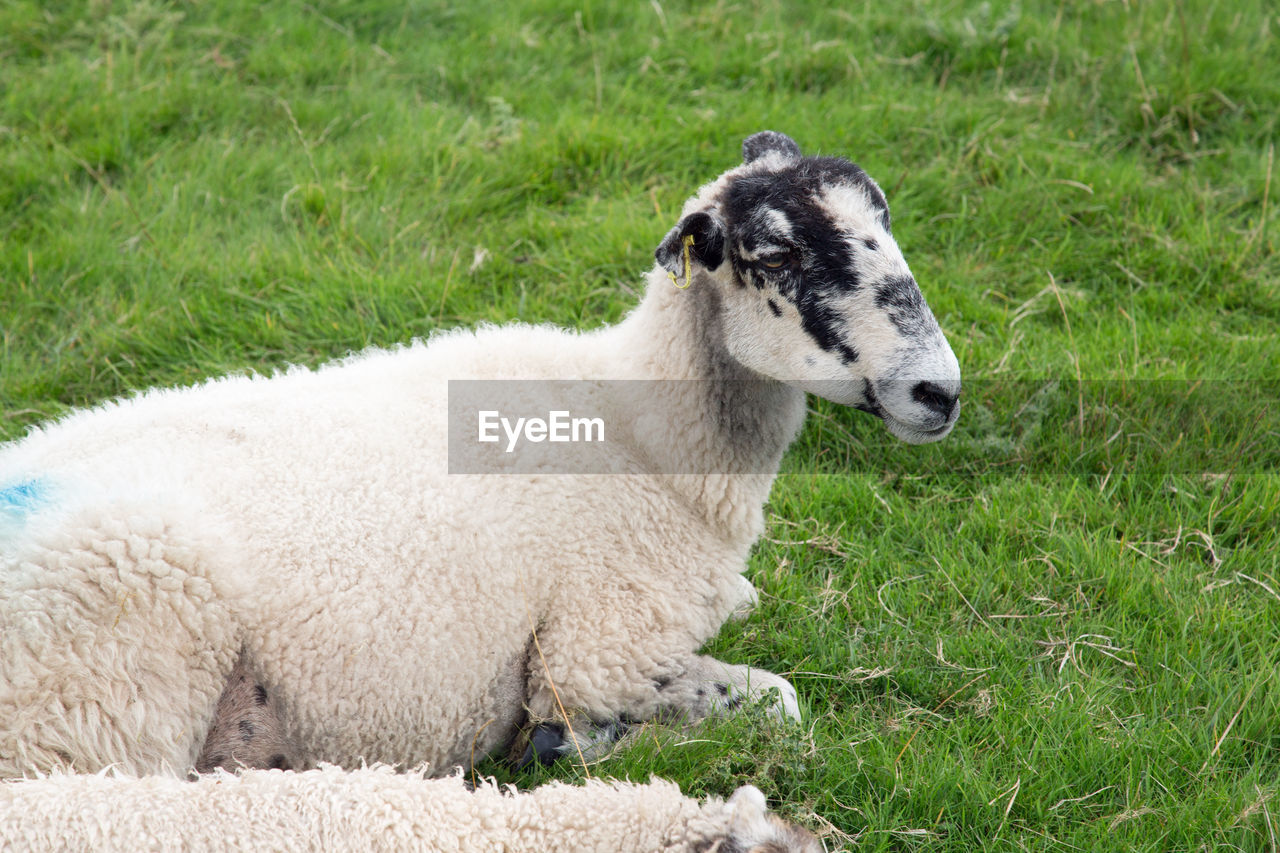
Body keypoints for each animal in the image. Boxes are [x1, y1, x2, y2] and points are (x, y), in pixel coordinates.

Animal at [0, 128, 962, 778]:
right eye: (775, 251)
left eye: (886, 221)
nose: (939, 391)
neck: (642, 433)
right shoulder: (597, 649)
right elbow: (778, 701)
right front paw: (564, 740)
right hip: (103, 683)